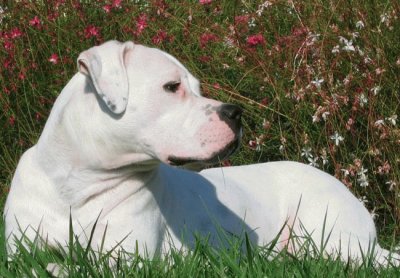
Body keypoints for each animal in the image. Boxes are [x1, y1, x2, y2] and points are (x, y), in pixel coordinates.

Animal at [3, 40, 400, 266]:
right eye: (172, 86)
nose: (236, 112)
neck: (77, 184)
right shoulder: (17, 251)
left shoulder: (126, 260)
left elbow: (65, 267)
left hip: (332, 239)